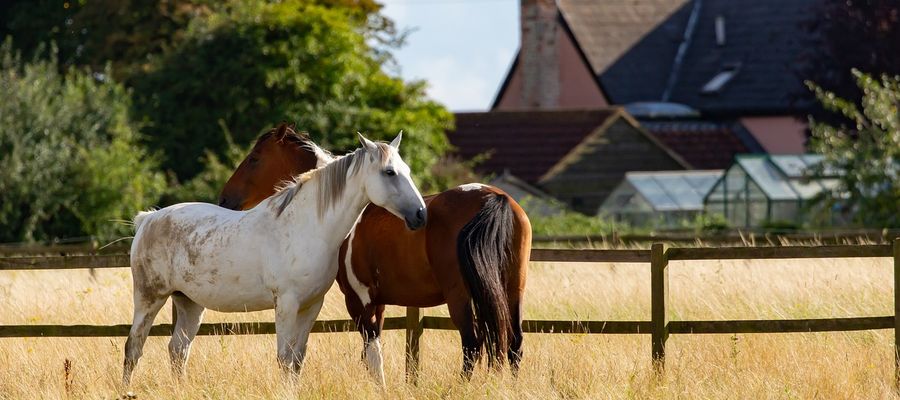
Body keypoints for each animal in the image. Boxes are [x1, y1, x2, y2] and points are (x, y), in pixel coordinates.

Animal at [122, 134, 426, 384]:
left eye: (407, 171)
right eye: (389, 172)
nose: (420, 214)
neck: (307, 226)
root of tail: (148, 219)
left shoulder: (311, 306)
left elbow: (298, 360)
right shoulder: (287, 305)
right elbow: (284, 359)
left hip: (189, 304)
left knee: (178, 350)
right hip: (149, 298)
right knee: (133, 347)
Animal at [219, 124, 532, 382]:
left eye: (254, 158)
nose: (225, 199)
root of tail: (494, 197)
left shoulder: (358, 300)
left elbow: (372, 354)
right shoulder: (378, 302)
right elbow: (371, 355)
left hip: (461, 296)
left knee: (472, 344)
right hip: (512, 288)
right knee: (513, 343)